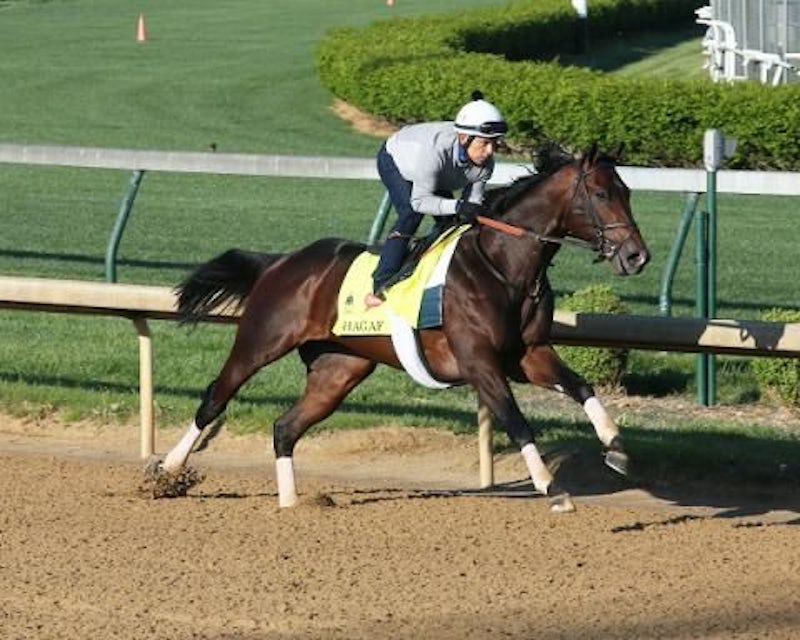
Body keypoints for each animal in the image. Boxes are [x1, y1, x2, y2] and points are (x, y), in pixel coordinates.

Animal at [153, 143, 650, 512]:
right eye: (601, 194)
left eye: (627, 191)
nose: (637, 256)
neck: (502, 267)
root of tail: (280, 261)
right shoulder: (479, 360)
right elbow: (516, 419)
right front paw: (551, 486)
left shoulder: (527, 354)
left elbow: (582, 386)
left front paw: (618, 450)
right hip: (261, 341)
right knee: (216, 397)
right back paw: (166, 472)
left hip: (340, 368)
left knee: (285, 428)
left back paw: (293, 503)